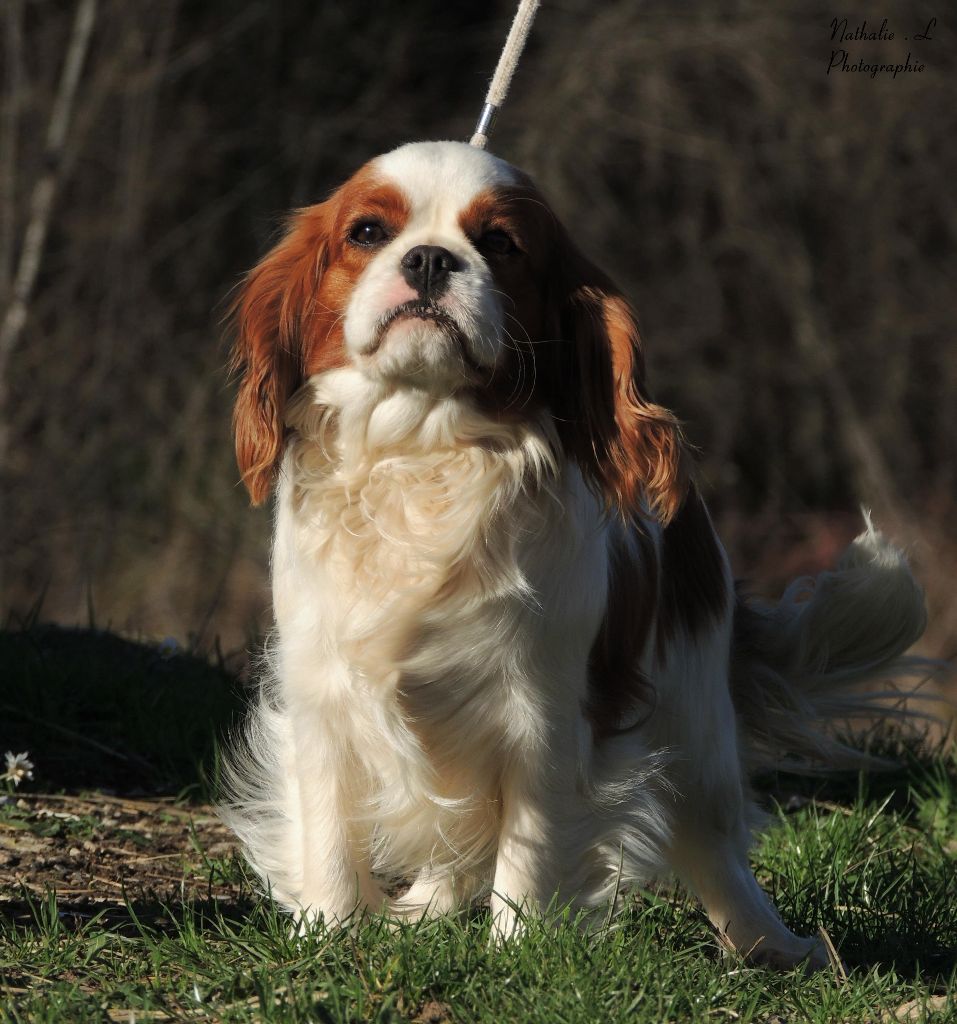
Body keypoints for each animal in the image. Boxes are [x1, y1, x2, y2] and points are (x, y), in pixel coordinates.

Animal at [223, 142, 929, 966]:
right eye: (366, 231)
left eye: (500, 243)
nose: (429, 258)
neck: (423, 451)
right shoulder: (323, 694)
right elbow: (332, 834)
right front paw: (328, 937)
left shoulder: (545, 713)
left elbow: (530, 849)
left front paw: (514, 953)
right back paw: (423, 911)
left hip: (695, 714)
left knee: (715, 846)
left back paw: (773, 946)